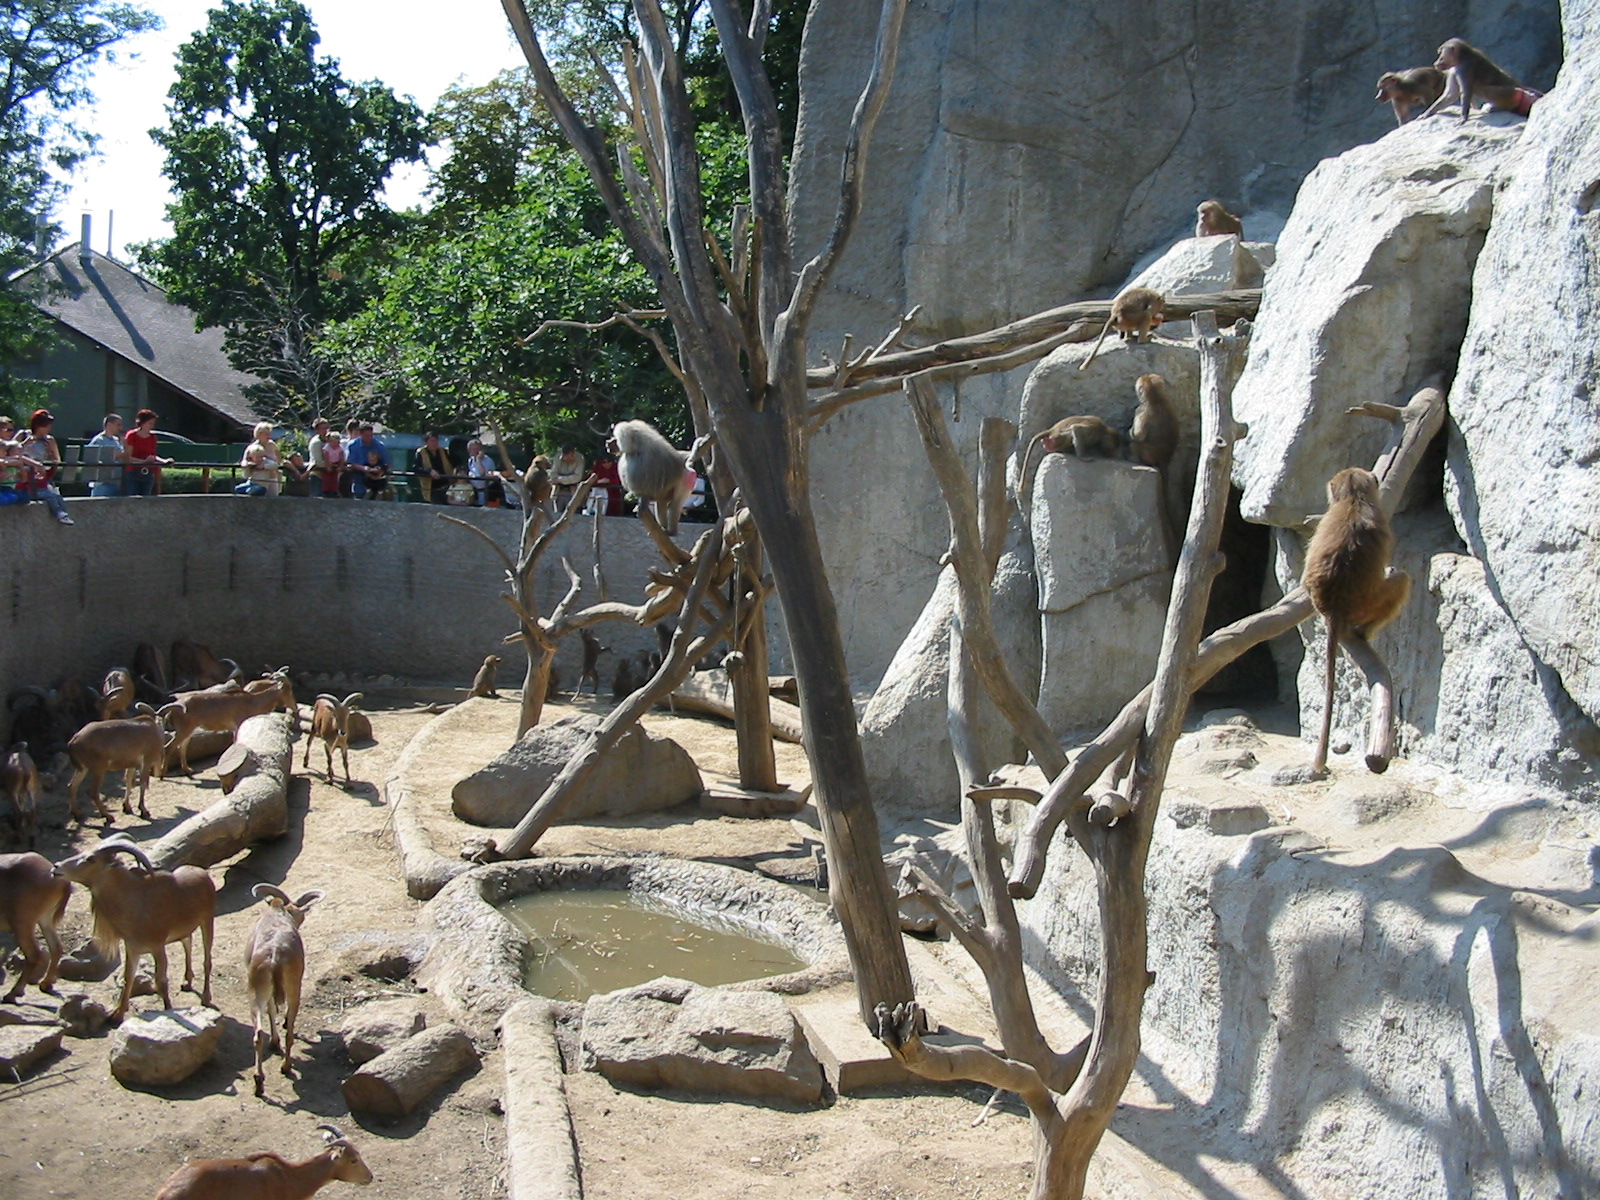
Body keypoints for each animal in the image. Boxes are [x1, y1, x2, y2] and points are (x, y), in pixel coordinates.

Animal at [0, 851, 71, 1002]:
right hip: (45, 919)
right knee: (56, 947)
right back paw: (45, 984)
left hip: (22, 922)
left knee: (34, 954)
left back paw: (13, 993)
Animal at [53, 833, 215, 1021]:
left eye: (90, 858)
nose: (56, 867)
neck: (134, 902)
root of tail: (204, 875)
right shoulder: (132, 948)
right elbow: (128, 976)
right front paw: (117, 1013)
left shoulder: (157, 947)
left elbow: (161, 981)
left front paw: (168, 1009)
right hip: (184, 931)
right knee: (187, 943)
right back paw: (187, 981)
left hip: (207, 922)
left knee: (207, 960)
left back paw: (206, 997)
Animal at [159, 670, 294, 774]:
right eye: (288, 689)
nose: (294, 707)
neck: (253, 702)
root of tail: (173, 707)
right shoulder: (238, 725)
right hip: (183, 730)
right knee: (168, 747)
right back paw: (162, 773)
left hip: (188, 730)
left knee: (182, 746)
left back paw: (188, 770)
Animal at [245, 883, 323, 1095]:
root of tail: (274, 955)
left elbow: (271, 1010)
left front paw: (274, 1042)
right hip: (294, 988)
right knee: (288, 1032)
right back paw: (283, 1067)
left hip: (256, 993)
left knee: (257, 1034)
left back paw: (261, 1081)